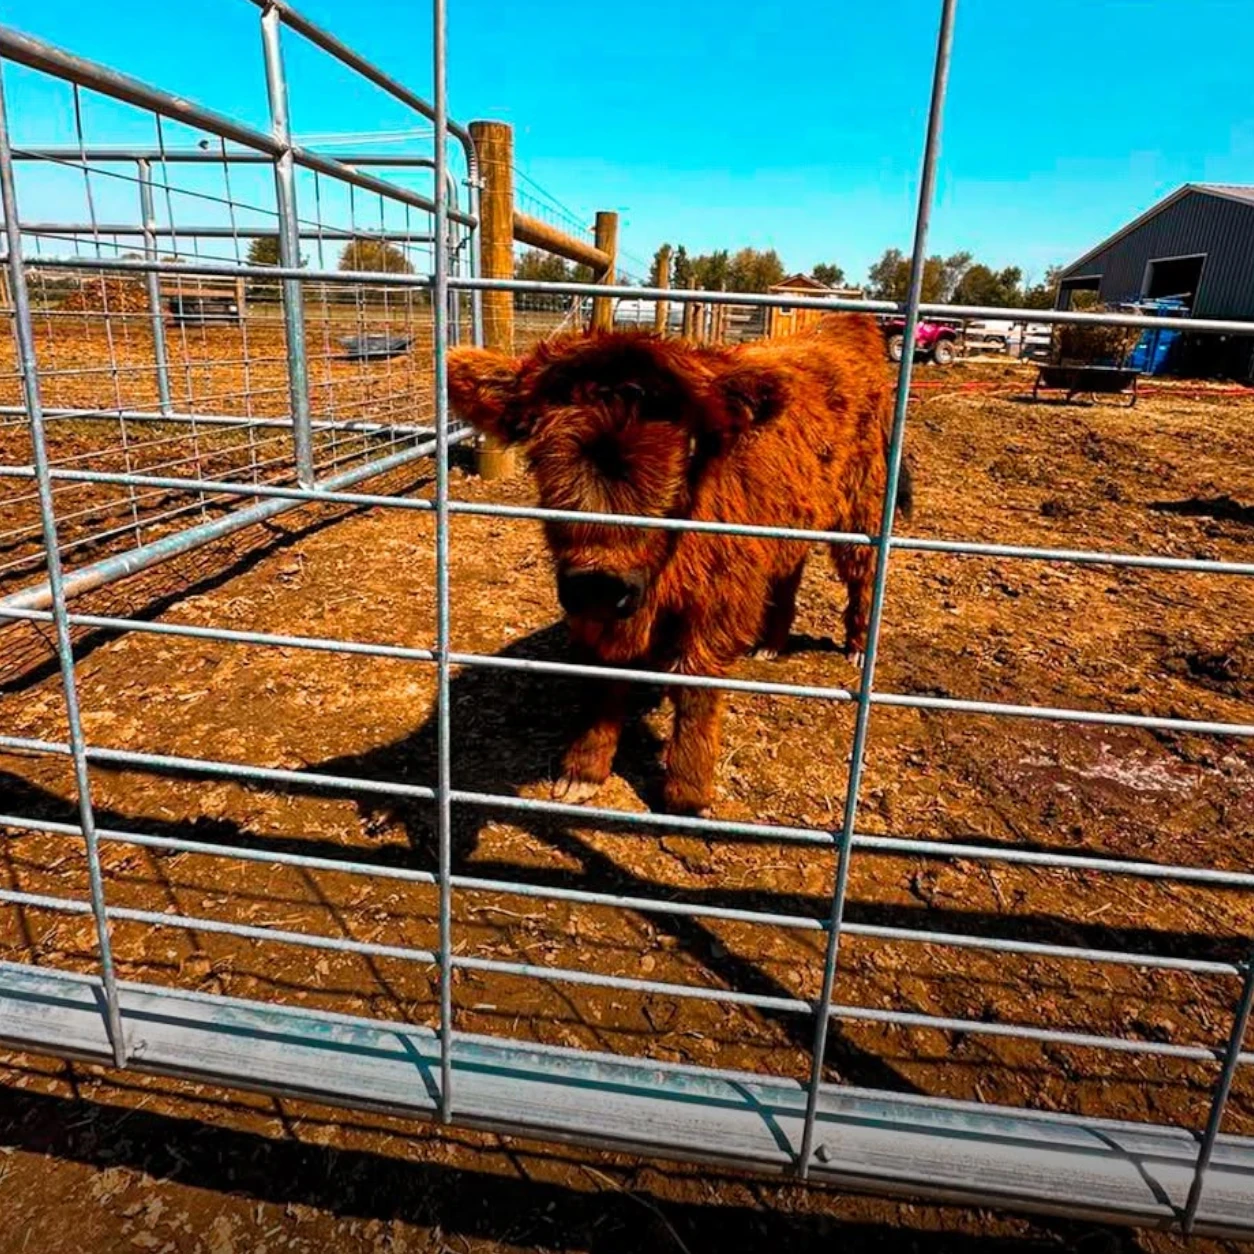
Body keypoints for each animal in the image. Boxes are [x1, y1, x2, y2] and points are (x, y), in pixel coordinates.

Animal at [446, 313, 912, 818]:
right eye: (538, 450)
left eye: (685, 450)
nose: (599, 584)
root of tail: (846, 323)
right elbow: (603, 680)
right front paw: (583, 770)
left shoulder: (717, 604)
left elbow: (695, 686)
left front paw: (687, 792)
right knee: (791, 571)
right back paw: (771, 643)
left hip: (863, 504)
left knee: (863, 574)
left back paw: (858, 646)